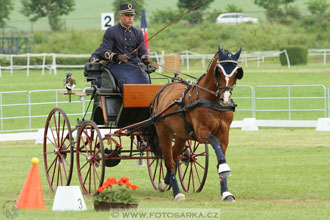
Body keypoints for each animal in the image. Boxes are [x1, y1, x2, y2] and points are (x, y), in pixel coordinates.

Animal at [151, 45, 244, 202]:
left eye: (237, 72)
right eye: (218, 71)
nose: (225, 99)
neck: (212, 101)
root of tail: (163, 89)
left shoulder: (224, 134)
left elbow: (221, 154)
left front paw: (226, 192)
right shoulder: (201, 132)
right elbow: (214, 141)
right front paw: (224, 169)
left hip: (181, 135)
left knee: (175, 156)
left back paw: (165, 183)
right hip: (163, 130)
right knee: (168, 159)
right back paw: (177, 193)